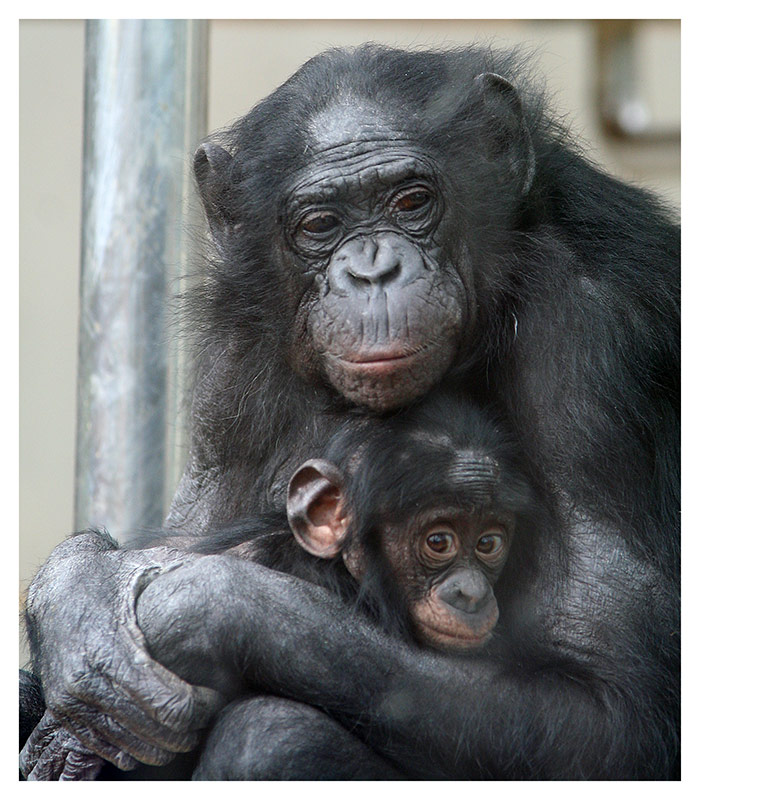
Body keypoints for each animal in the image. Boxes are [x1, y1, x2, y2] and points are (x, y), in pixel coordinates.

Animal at [19, 43, 680, 780]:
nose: (372, 269)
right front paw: (82, 607)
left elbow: (605, 707)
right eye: (320, 225)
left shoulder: (587, 330)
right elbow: (186, 533)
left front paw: (199, 609)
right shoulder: (231, 358)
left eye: (412, 201)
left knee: (274, 736)